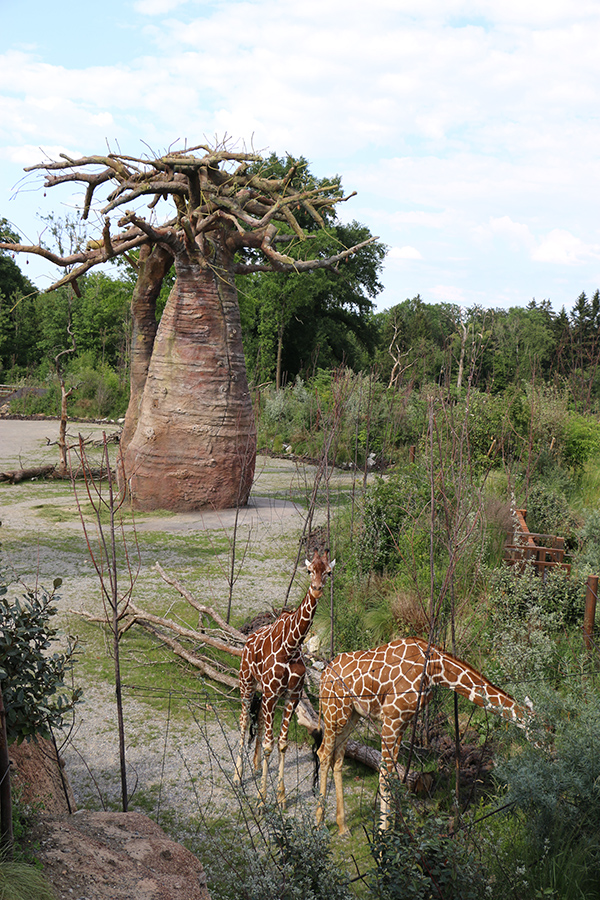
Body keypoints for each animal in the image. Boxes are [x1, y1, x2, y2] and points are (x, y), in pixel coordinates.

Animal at [234, 548, 335, 806]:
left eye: (328, 572)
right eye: (309, 570)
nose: (317, 588)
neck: (291, 645)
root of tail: (248, 640)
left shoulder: (291, 696)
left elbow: (281, 743)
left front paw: (279, 797)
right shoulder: (272, 694)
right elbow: (269, 744)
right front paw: (261, 800)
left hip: (263, 691)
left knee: (258, 719)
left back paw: (255, 766)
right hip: (246, 682)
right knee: (243, 721)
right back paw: (238, 776)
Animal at [315, 637, 532, 834]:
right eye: (538, 728)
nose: (542, 748)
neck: (434, 668)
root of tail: (324, 673)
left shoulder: (403, 721)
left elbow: (393, 777)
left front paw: (393, 833)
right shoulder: (391, 718)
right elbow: (384, 777)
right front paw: (382, 842)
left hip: (351, 715)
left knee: (337, 758)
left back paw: (343, 827)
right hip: (334, 712)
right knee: (323, 753)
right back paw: (319, 825)